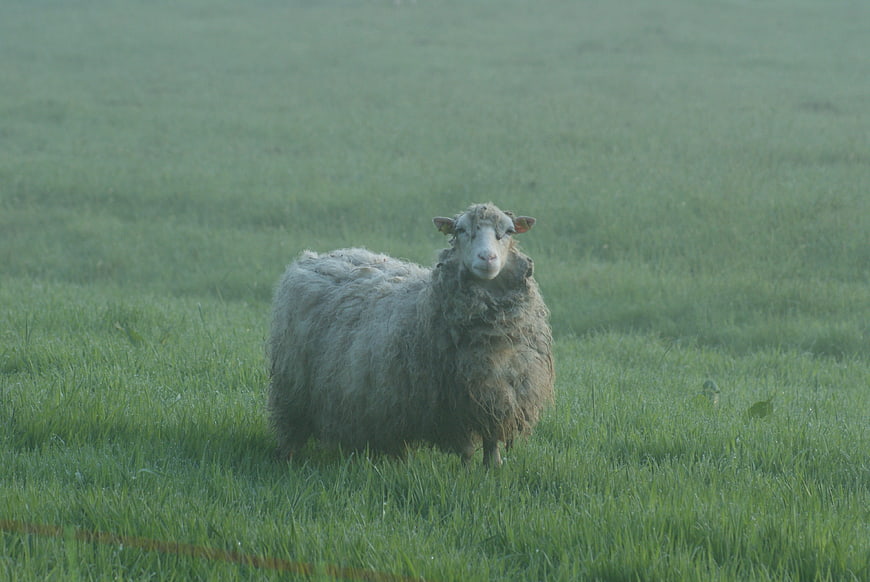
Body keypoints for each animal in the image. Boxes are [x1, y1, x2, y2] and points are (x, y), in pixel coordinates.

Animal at [267, 203, 554, 467]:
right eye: (461, 230)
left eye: (508, 231)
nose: (487, 258)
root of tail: (314, 257)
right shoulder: (451, 404)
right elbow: (466, 449)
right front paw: (467, 473)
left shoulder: (499, 394)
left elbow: (492, 441)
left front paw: (492, 469)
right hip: (292, 385)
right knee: (290, 427)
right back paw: (287, 459)